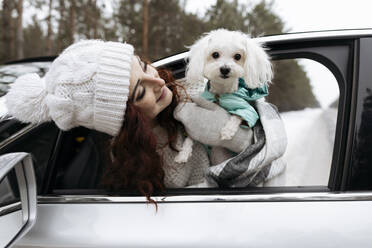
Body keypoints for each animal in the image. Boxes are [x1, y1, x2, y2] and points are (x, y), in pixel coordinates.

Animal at [174, 28, 274, 163]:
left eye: (238, 56)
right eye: (215, 54)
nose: (225, 69)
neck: (221, 93)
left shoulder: (247, 108)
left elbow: (239, 115)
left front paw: (228, 130)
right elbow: (190, 137)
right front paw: (183, 153)